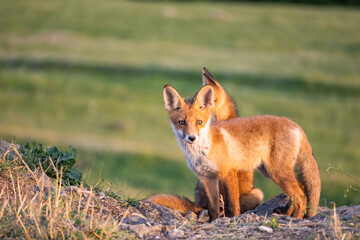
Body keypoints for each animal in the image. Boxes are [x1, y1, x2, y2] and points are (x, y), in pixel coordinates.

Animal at [162, 83, 320, 220]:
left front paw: (232, 220)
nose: (192, 138)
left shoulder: (228, 173)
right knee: (302, 187)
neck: (202, 152)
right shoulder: (207, 177)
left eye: (199, 122)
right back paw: (286, 212)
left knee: (300, 196)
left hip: (276, 172)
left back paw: (296, 218)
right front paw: (214, 221)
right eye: (181, 122)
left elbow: (232, 205)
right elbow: (213, 208)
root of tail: (294, 124)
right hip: (269, 171)